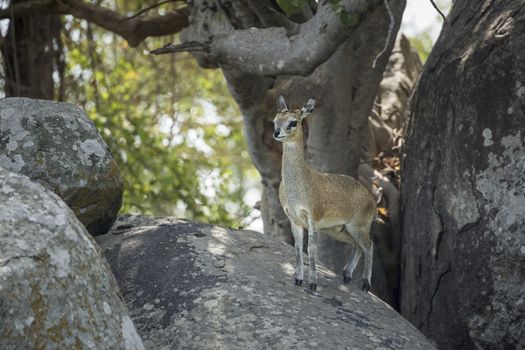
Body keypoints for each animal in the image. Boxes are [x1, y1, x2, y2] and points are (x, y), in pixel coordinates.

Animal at [274, 94, 376, 292]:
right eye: (275, 120)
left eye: (293, 122)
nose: (276, 133)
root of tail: (373, 200)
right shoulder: (294, 218)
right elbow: (298, 248)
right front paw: (298, 279)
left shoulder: (313, 217)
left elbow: (311, 249)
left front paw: (313, 283)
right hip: (338, 229)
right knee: (357, 245)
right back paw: (346, 275)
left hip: (358, 226)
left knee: (369, 245)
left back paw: (365, 284)